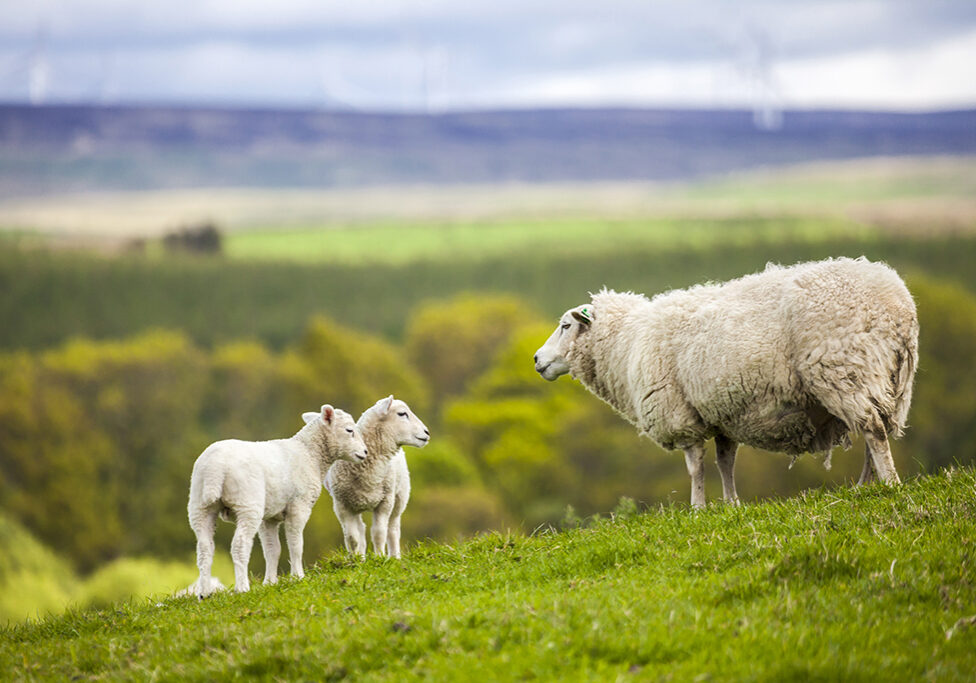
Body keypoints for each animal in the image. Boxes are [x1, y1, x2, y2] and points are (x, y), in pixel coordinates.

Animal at [185, 406, 368, 600]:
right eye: (349, 430)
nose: (365, 452)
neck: (310, 454)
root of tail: (215, 468)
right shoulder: (299, 506)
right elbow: (296, 544)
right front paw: (298, 576)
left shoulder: (269, 518)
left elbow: (272, 549)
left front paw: (270, 583)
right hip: (247, 504)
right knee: (240, 544)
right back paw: (242, 587)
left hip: (199, 505)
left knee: (204, 548)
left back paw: (204, 593)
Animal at [324, 396, 430, 560]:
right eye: (402, 414)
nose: (427, 432)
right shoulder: (342, 504)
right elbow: (352, 537)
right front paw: (355, 560)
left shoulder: (385, 501)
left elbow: (379, 533)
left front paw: (380, 557)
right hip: (356, 502)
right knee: (360, 529)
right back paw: (361, 556)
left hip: (400, 496)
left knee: (393, 529)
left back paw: (395, 557)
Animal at [528, 256, 920, 508]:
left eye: (565, 325)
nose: (536, 360)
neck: (626, 342)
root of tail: (897, 302)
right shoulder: (721, 414)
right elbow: (724, 461)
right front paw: (732, 504)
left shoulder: (679, 413)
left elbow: (695, 466)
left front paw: (697, 507)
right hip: (884, 376)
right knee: (876, 427)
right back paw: (865, 486)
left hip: (844, 368)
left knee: (872, 429)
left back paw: (889, 484)